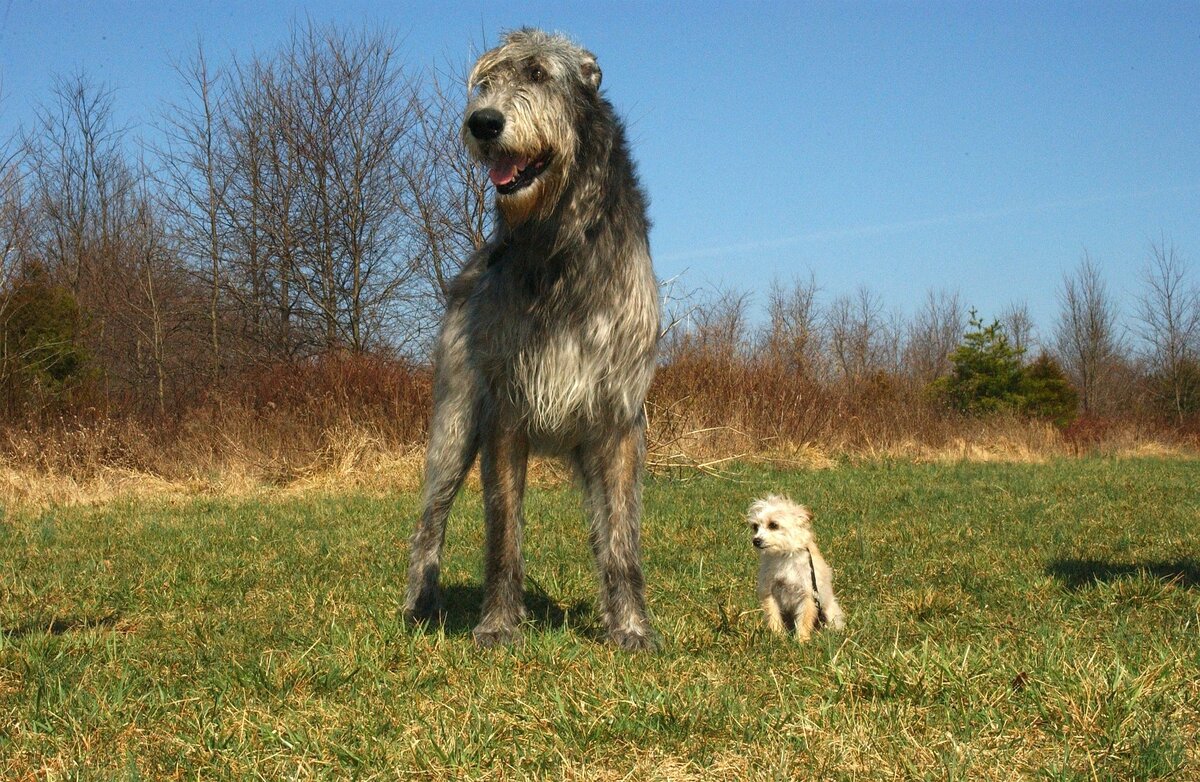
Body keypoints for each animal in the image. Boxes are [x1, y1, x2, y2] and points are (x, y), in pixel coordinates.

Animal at [408, 29, 662, 652]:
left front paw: (631, 627)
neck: (558, 243)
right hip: (453, 423)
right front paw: (499, 624)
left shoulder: (620, 417)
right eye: (485, 83)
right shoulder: (504, 412)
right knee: (430, 520)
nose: (483, 123)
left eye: (540, 75)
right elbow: (503, 532)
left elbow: (622, 539)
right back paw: (420, 604)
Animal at [748, 494, 844, 642]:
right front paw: (777, 636)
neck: (784, 556)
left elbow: (804, 619)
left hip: (830, 612)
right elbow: (773, 616)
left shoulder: (808, 594)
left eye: (773, 525)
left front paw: (801, 640)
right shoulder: (769, 592)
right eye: (755, 526)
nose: (756, 541)